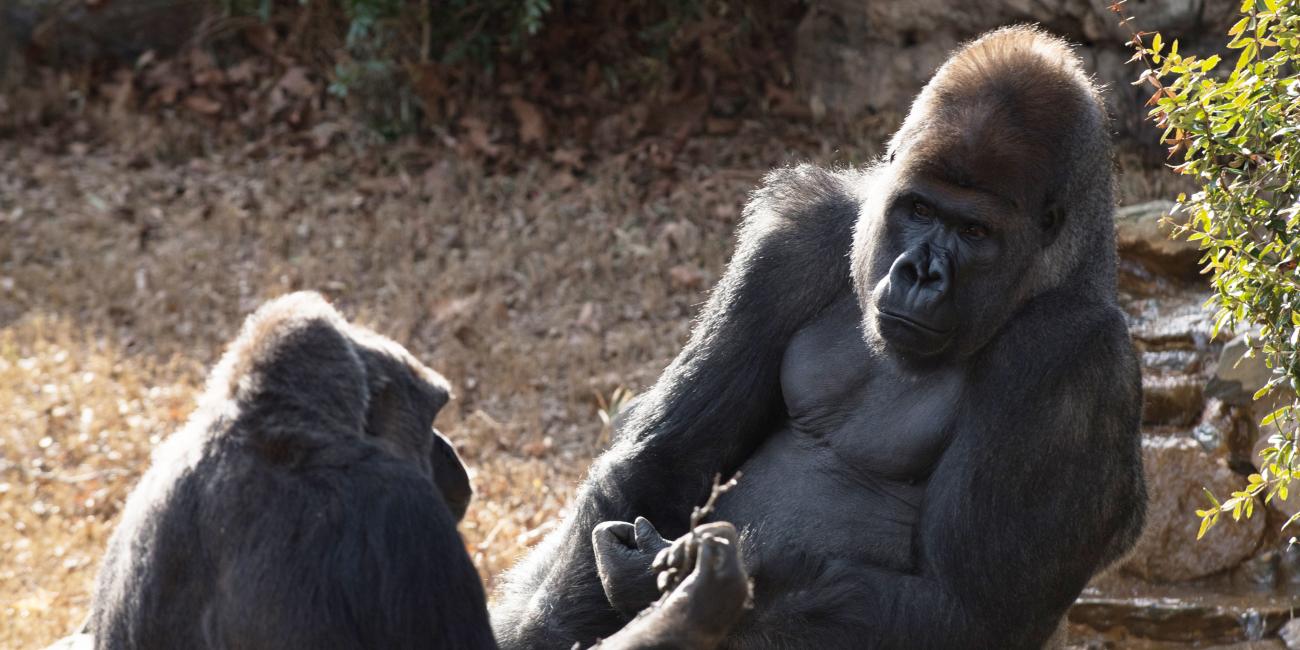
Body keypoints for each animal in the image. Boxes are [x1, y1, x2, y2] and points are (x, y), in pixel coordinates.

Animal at [493, 26, 1149, 650]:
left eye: (973, 231)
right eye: (919, 210)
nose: (921, 273)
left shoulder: (1069, 353)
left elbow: (962, 610)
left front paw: (691, 589)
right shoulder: (799, 236)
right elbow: (663, 462)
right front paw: (555, 625)